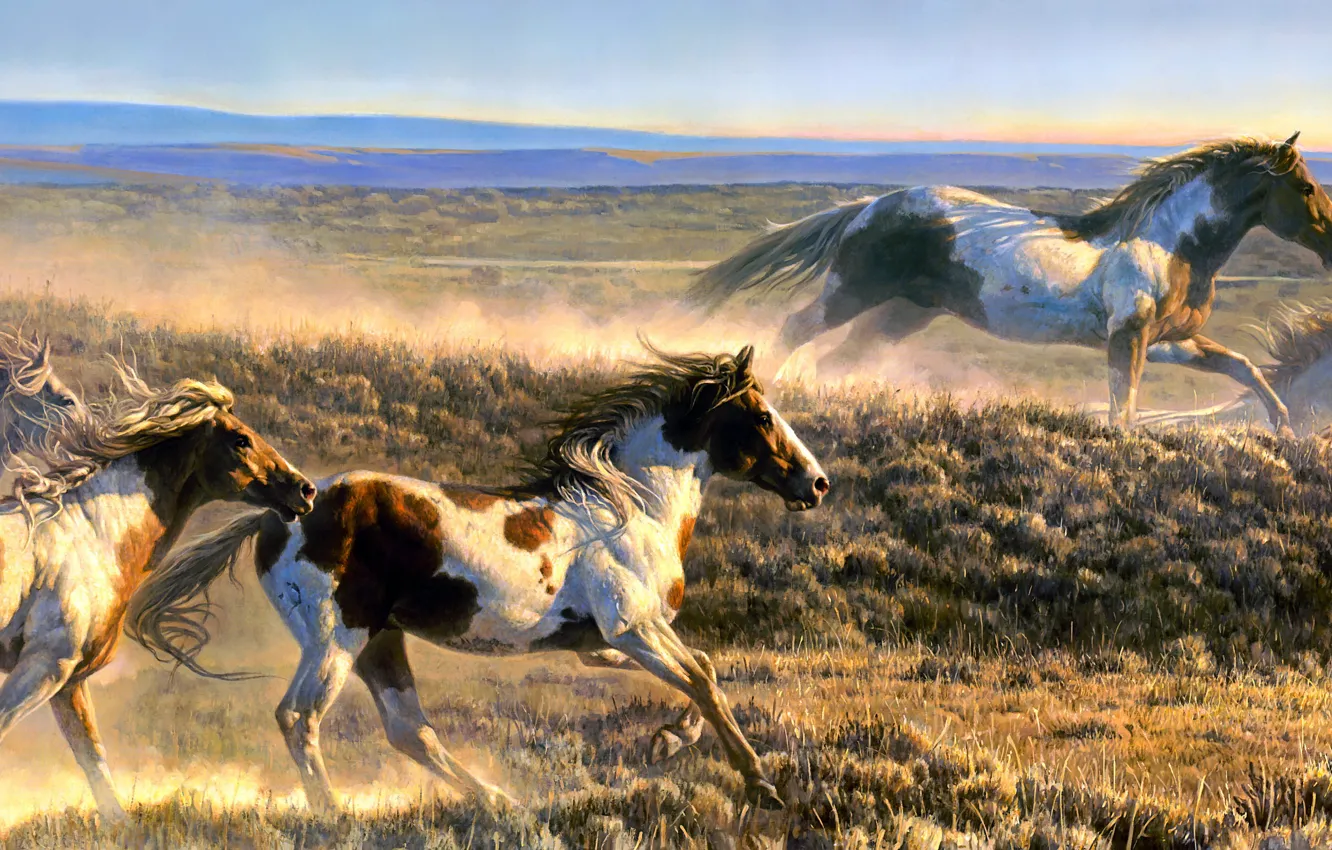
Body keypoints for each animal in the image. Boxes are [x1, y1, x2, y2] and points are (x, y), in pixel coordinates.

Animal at [0, 362, 315, 819]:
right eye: (241, 439)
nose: (304, 489)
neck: (91, 532)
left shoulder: (68, 678)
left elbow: (93, 759)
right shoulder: (44, 665)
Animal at [128, 345, 829, 812]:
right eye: (762, 416)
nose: (817, 483)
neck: (630, 506)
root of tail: (283, 511)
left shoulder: (604, 643)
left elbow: (703, 668)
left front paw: (667, 742)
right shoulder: (634, 629)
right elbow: (706, 681)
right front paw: (760, 783)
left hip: (380, 640)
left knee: (410, 731)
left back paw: (498, 802)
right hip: (336, 639)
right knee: (300, 718)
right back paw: (334, 815)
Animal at [688, 133, 1332, 434]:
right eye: (1305, 188)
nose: (1329, 242)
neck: (1169, 243)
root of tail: (869, 206)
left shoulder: (1169, 341)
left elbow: (1240, 366)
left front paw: (1285, 425)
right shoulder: (1129, 336)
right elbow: (1123, 403)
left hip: (904, 313)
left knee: (839, 358)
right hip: (853, 291)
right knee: (794, 327)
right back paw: (765, 394)